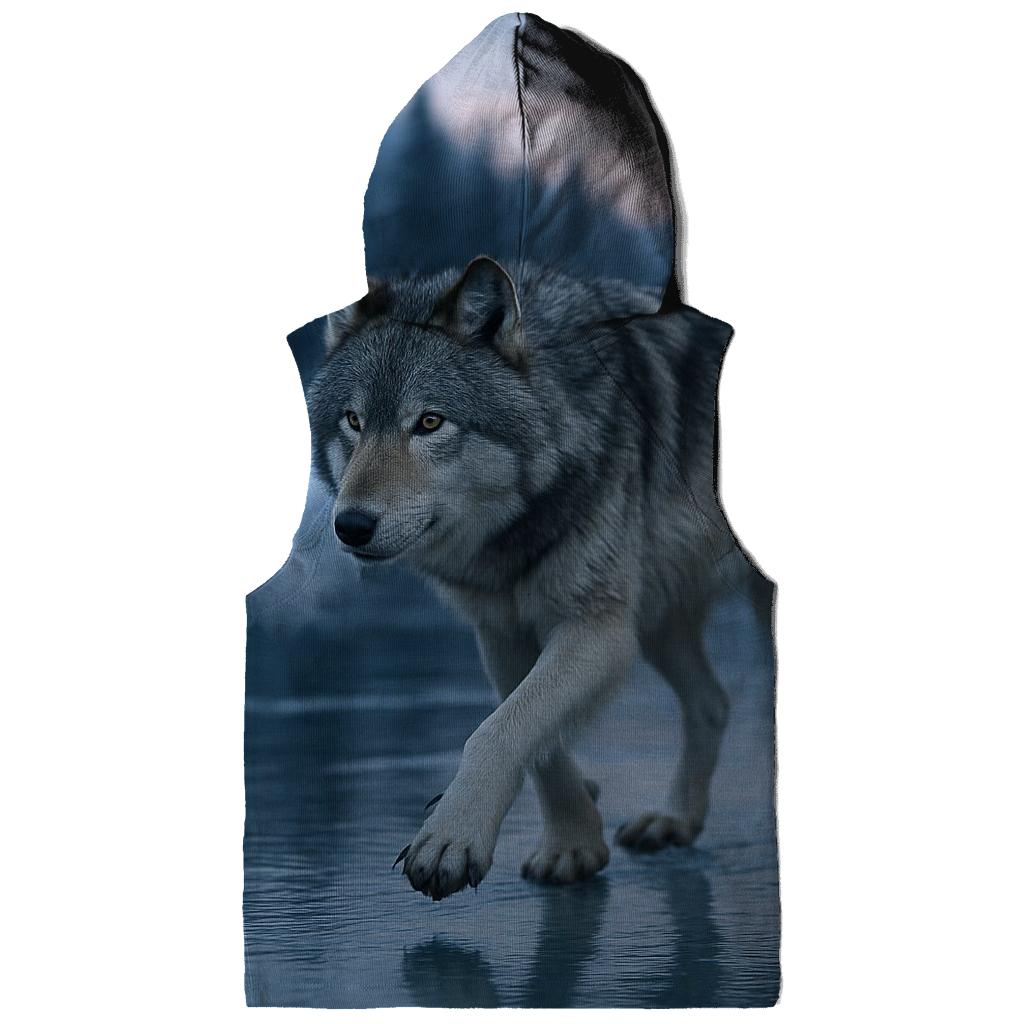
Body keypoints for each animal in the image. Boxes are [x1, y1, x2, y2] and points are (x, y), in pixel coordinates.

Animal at [307, 255, 747, 901]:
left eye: (430, 422)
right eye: (354, 421)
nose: (352, 525)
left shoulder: (596, 629)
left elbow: (496, 732)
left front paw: (449, 839)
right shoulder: (504, 632)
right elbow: (533, 735)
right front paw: (574, 846)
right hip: (658, 620)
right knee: (712, 701)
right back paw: (674, 821)